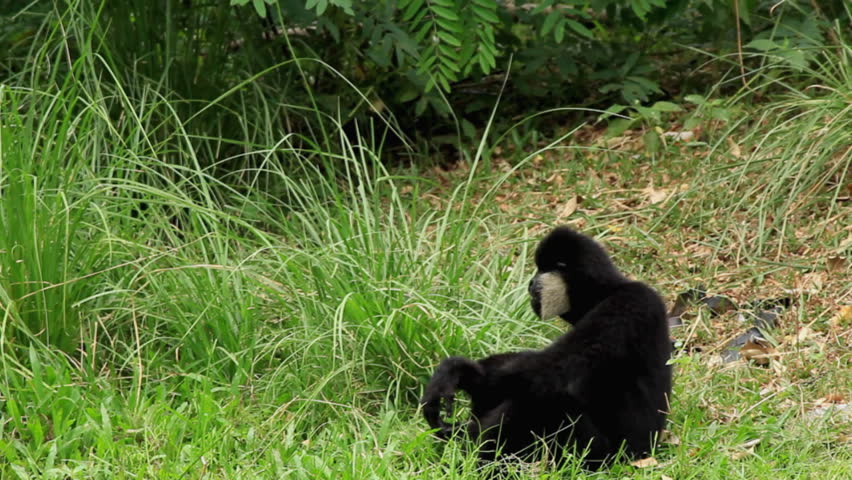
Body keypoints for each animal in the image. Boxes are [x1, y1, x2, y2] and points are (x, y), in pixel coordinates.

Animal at [421, 226, 672, 468]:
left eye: (541, 271)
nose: (531, 282)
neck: (605, 292)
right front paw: (464, 374)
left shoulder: (628, 304)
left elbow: (554, 371)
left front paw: (459, 375)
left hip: (603, 454)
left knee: (544, 396)